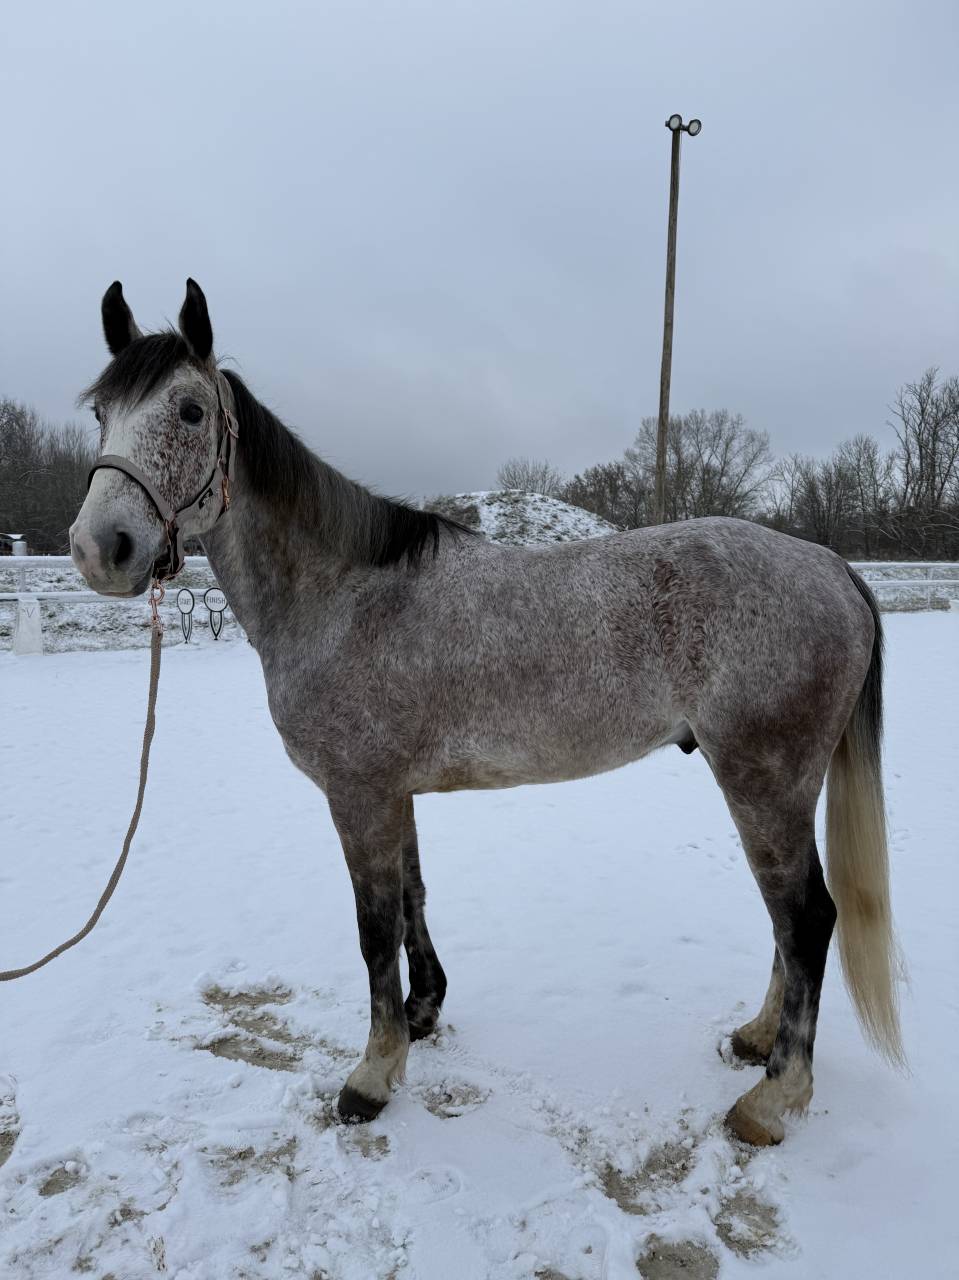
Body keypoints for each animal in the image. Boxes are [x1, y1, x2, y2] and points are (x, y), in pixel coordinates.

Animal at [70, 279, 903, 1146]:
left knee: (805, 919)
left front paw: (372, 1075)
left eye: (190, 411)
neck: (344, 595)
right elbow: (412, 899)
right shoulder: (391, 792)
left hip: (762, 783)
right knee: (788, 922)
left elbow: (373, 929)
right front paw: (421, 1013)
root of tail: (831, 566)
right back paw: (755, 1040)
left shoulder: (357, 795)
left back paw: (772, 1099)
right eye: (100, 413)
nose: (101, 548)